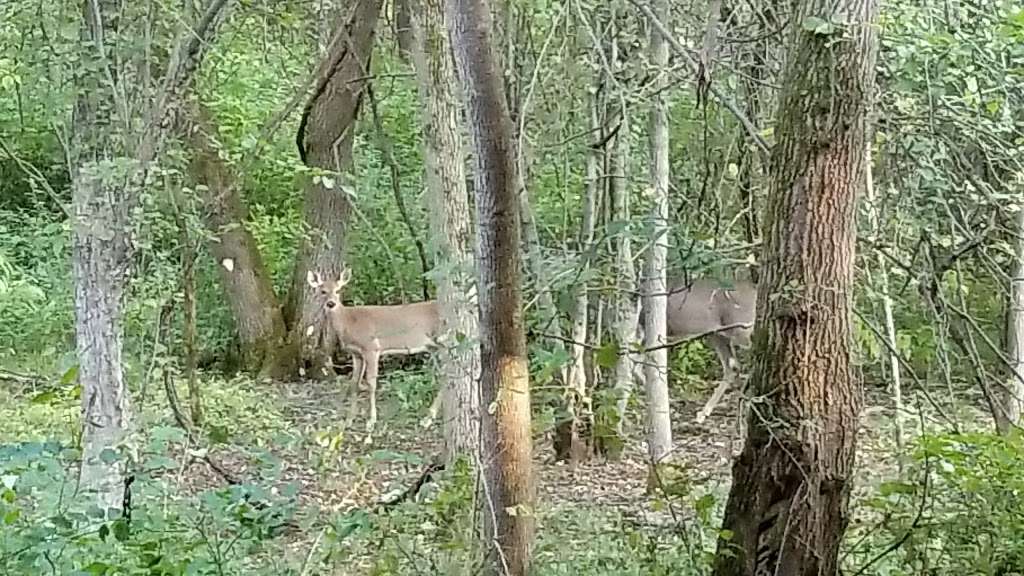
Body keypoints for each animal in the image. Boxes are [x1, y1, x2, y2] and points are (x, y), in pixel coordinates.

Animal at [307, 266, 444, 436]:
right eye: (323, 291)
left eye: (338, 290)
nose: (331, 303)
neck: (349, 322)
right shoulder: (356, 353)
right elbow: (354, 383)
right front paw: (348, 420)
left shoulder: (371, 347)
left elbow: (371, 383)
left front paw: (371, 421)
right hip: (433, 347)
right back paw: (431, 416)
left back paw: (428, 418)